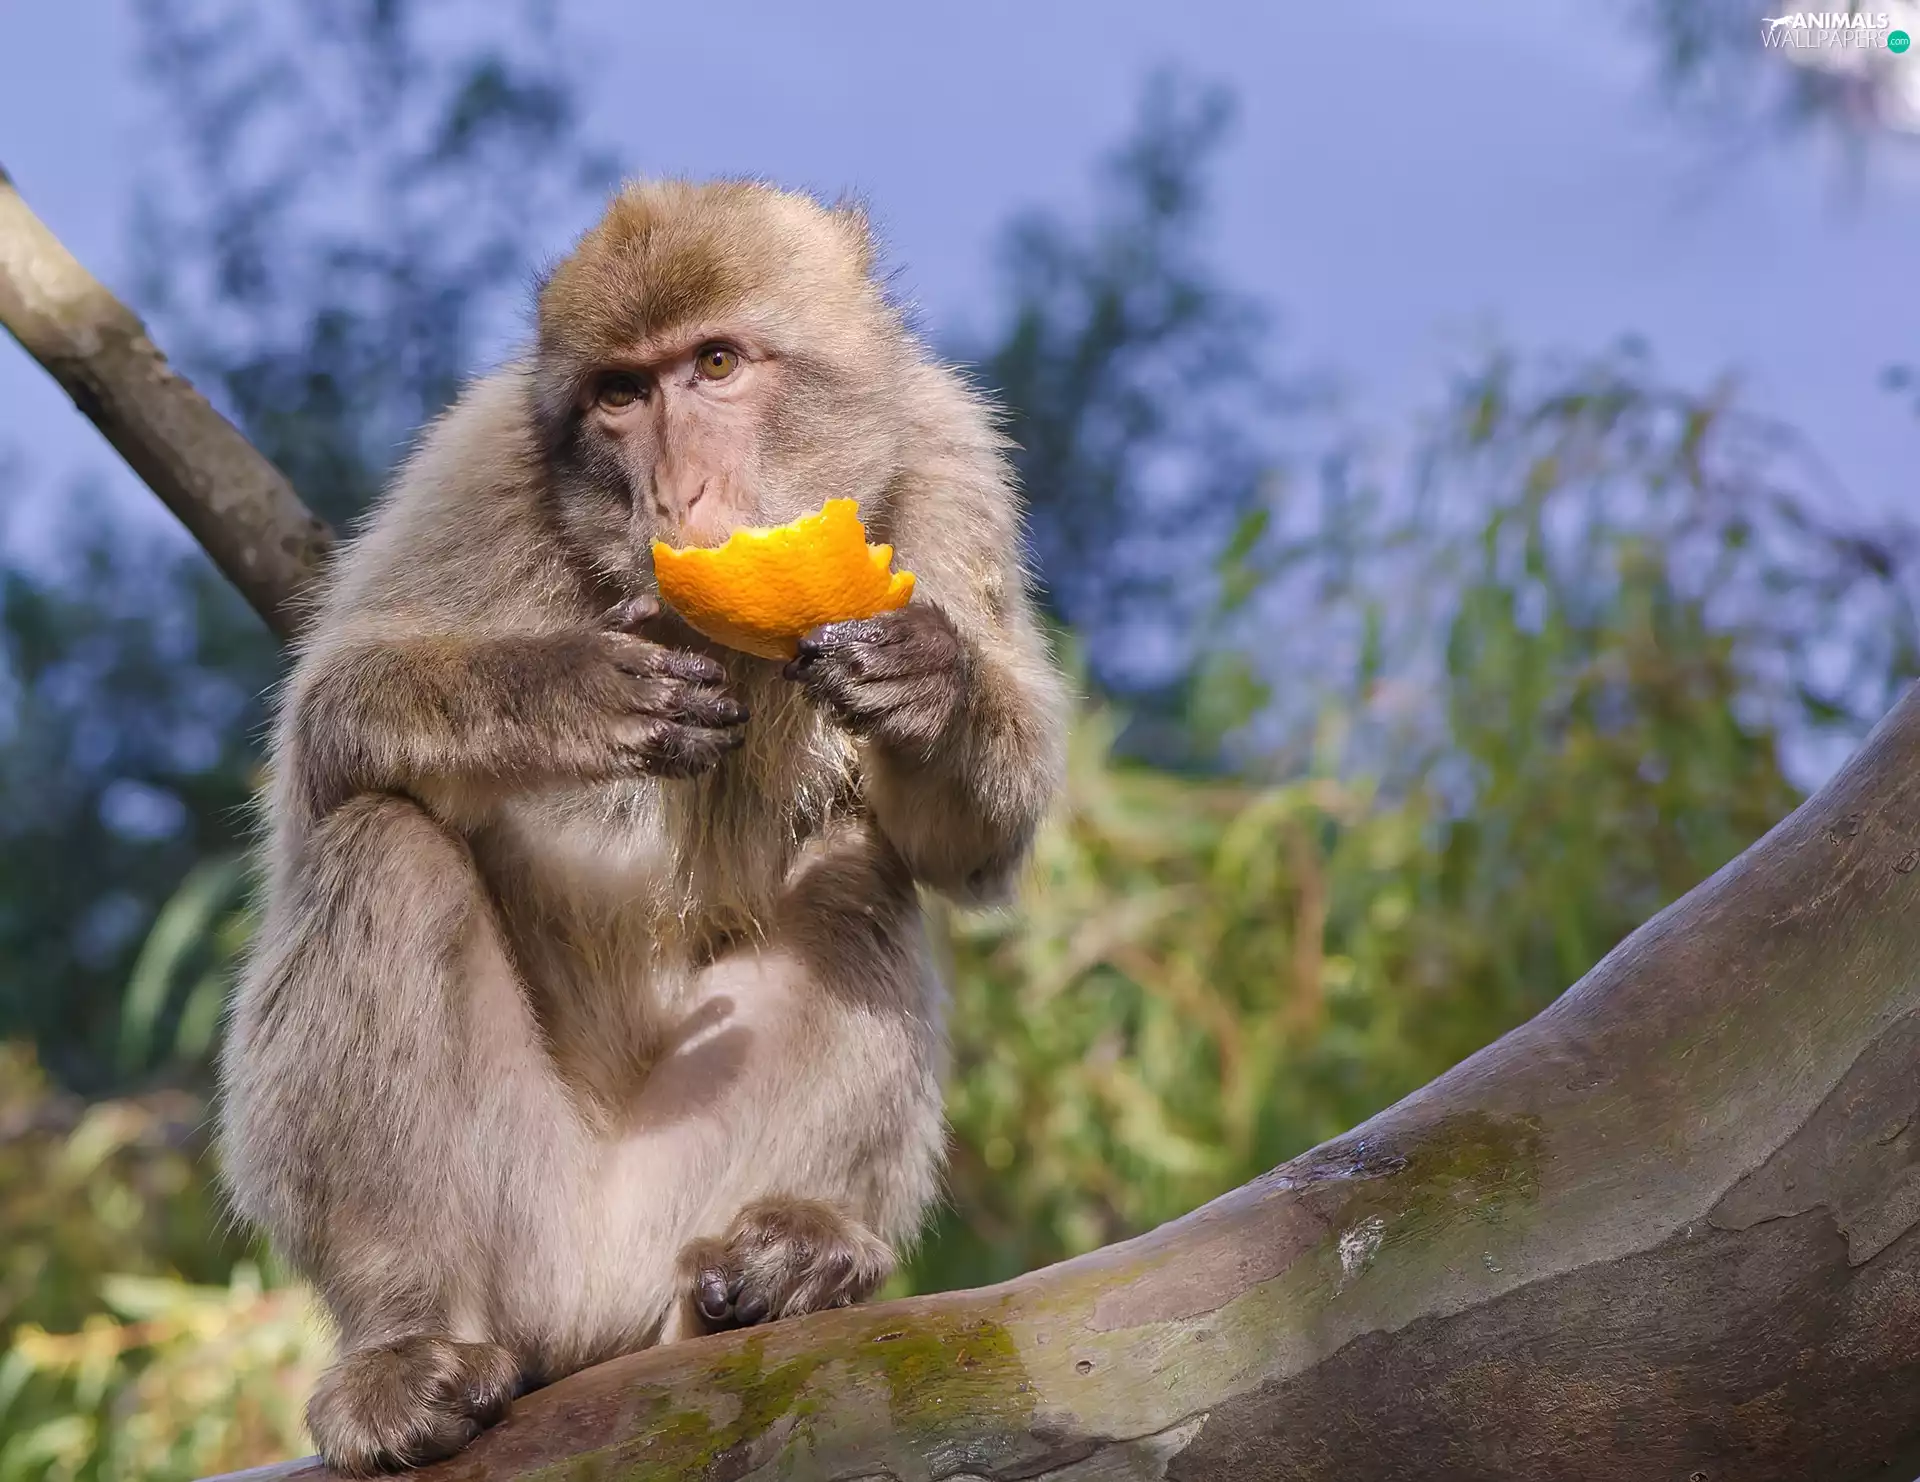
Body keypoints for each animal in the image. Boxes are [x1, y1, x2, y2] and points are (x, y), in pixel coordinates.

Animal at [216, 179, 1069, 1475]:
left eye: (714, 364)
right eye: (620, 395)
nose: (676, 493)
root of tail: (588, 1310)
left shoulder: (952, 461)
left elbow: (964, 845)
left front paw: (935, 681)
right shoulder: (480, 461)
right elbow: (327, 728)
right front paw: (566, 693)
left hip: (669, 1209)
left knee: (854, 875)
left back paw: (787, 1258)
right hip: (519, 1221)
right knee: (380, 844)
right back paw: (403, 1342)